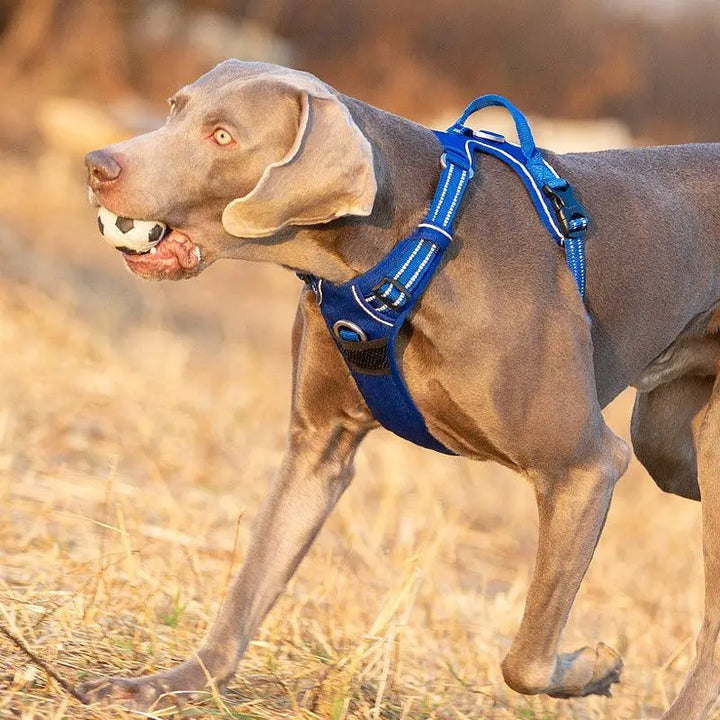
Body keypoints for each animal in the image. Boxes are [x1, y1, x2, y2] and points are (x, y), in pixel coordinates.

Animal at [79, 62, 720, 720]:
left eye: (223, 136)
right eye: (174, 108)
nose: (97, 165)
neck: (402, 252)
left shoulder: (583, 467)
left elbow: (524, 659)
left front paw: (593, 668)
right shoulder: (319, 446)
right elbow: (251, 582)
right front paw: (172, 683)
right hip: (667, 445)